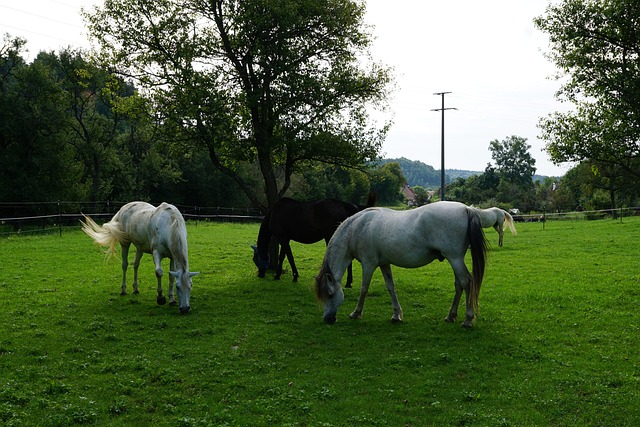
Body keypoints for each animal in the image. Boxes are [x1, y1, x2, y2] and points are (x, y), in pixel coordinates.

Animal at [316, 202, 490, 330]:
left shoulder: (368, 264)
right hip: (455, 259)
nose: (327, 319)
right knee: (459, 284)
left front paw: (356, 313)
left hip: (454, 258)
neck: (358, 227)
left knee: (466, 282)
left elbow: (364, 288)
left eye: (330, 295)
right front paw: (396, 315)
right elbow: (390, 287)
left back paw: (468, 319)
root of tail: (466, 209)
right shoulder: (384, 264)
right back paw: (451, 316)